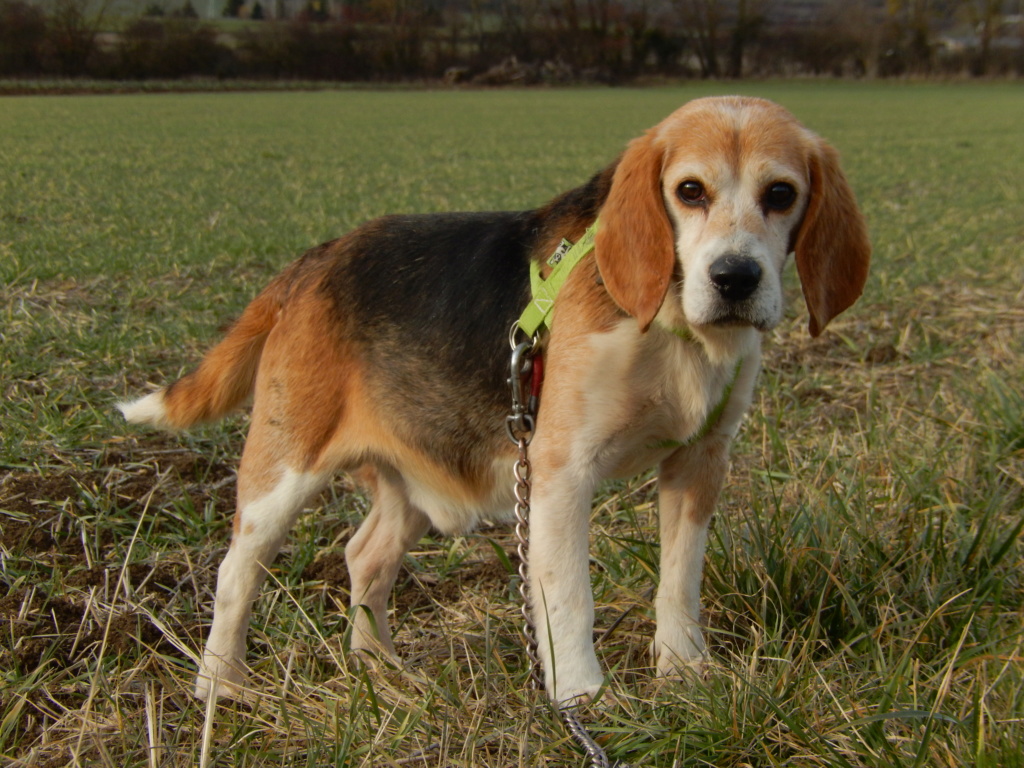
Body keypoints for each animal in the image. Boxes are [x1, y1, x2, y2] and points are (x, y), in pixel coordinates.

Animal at [121, 97, 872, 708]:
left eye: (781, 194)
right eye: (690, 191)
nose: (735, 277)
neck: (671, 329)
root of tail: (314, 261)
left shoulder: (700, 461)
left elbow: (679, 580)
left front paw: (684, 673)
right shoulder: (560, 470)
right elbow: (568, 595)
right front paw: (582, 698)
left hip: (410, 475)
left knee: (365, 557)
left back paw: (378, 667)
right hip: (284, 470)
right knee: (235, 572)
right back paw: (222, 685)